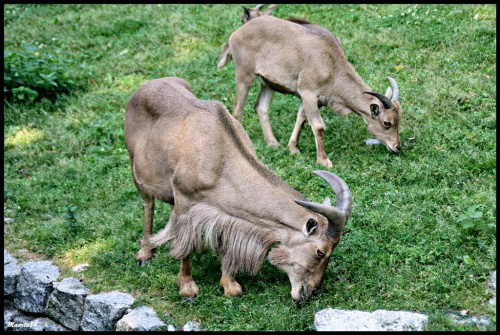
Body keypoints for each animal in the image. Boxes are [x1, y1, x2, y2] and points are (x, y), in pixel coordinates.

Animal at [124, 77, 352, 304]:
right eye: (320, 252)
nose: (311, 291)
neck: (220, 157)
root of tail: (143, 87)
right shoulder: (184, 203)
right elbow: (184, 246)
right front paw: (188, 288)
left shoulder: (225, 212)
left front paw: (229, 284)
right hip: (135, 168)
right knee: (148, 205)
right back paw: (144, 253)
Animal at [217, 15, 400, 168]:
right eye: (387, 122)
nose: (397, 147)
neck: (330, 63)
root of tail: (235, 34)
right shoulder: (308, 92)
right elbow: (318, 126)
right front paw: (324, 161)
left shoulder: (313, 98)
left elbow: (301, 118)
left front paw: (293, 149)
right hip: (244, 75)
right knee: (237, 110)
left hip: (268, 83)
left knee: (261, 107)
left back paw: (273, 143)